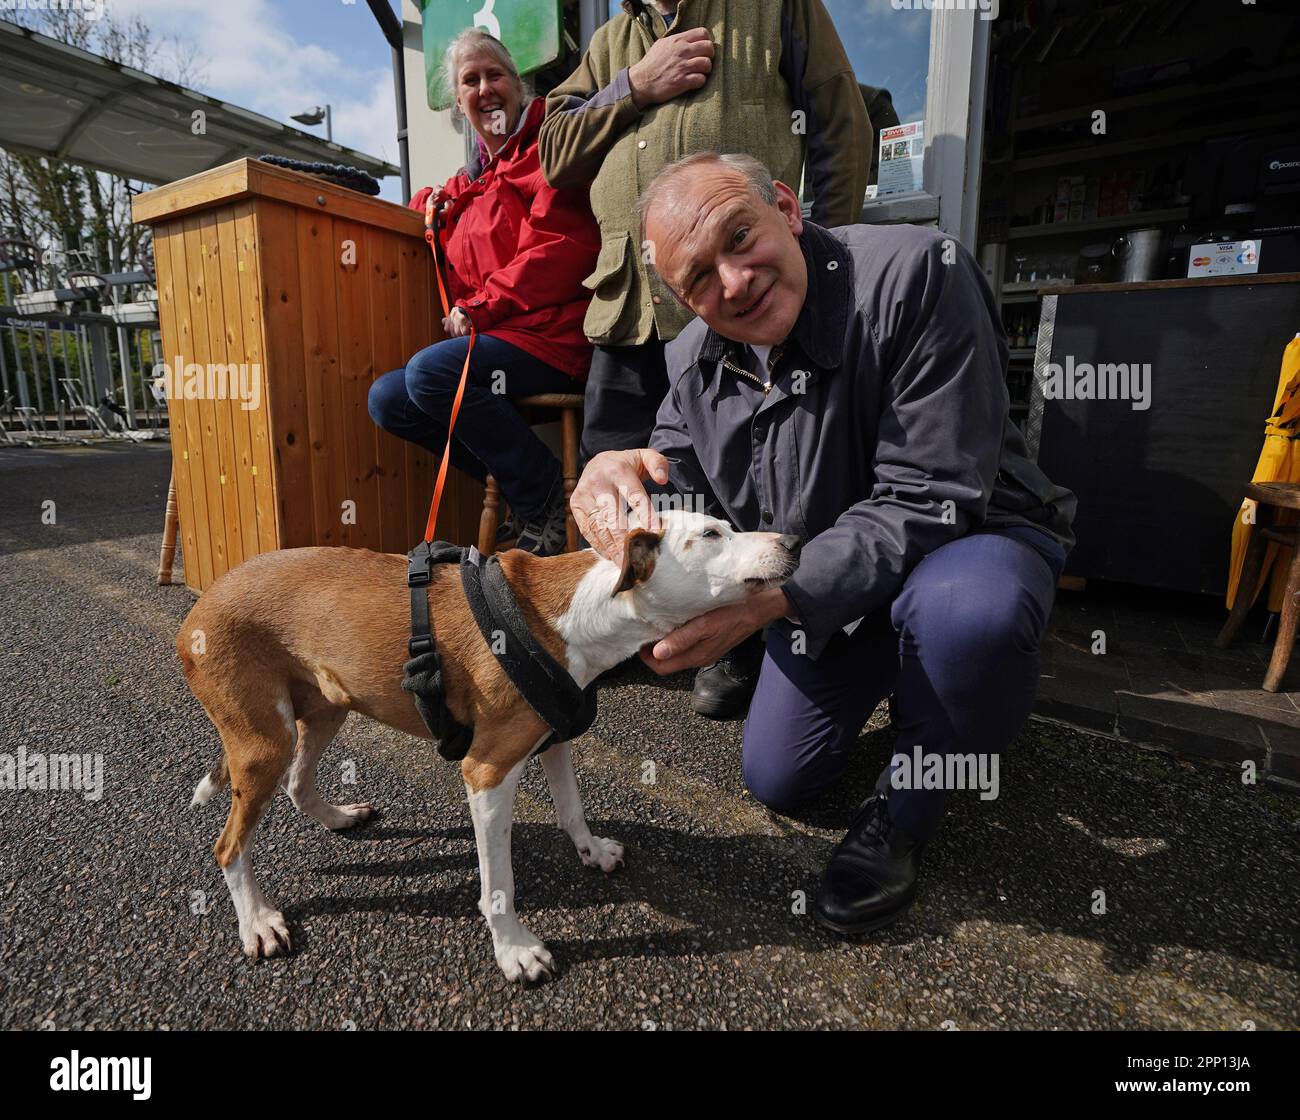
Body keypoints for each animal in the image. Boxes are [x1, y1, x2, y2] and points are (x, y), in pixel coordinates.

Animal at [178, 511, 795, 987]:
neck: (579, 612)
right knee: (228, 846)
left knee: (298, 783)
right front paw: (514, 949)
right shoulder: (487, 772)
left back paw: (338, 818)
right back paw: (258, 921)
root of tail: (200, 607)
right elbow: (499, 882)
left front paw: (591, 850)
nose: (792, 540)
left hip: (325, 708)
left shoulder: (553, 739)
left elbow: (572, 808)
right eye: (711, 534)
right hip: (263, 741)